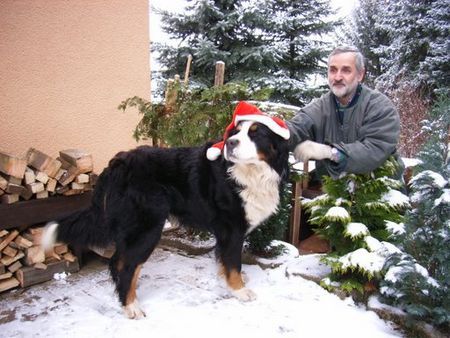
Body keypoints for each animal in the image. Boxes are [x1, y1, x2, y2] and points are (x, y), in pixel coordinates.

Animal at [41, 101, 288, 320]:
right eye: (235, 133)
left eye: (256, 134)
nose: (230, 143)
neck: (248, 173)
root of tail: (118, 163)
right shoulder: (232, 229)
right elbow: (233, 261)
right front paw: (239, 290)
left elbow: (225, 260)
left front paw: (227, 279)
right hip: (147, 227)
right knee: (127, 264)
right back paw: (131, 306)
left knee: (119, 261)